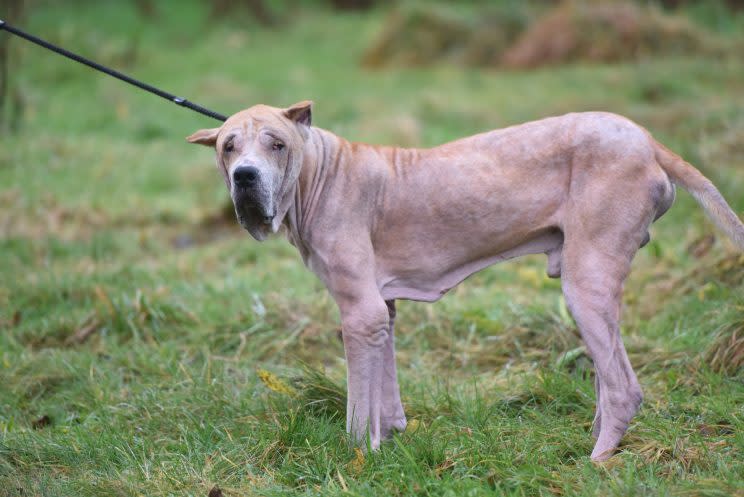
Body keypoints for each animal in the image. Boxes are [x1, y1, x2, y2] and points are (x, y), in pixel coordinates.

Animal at [187, 101, 744, 462]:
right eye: (229, 147)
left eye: (276, 145)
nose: (245, 176)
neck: (320, 173)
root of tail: (647, 139)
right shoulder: (381, 313)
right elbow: (385, 390)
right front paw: (392, 437)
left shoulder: (359, 314)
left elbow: (357, 406)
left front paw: (358, 454)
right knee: (610, 382)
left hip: (586, 283)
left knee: (625, 387)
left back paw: (598, 458)